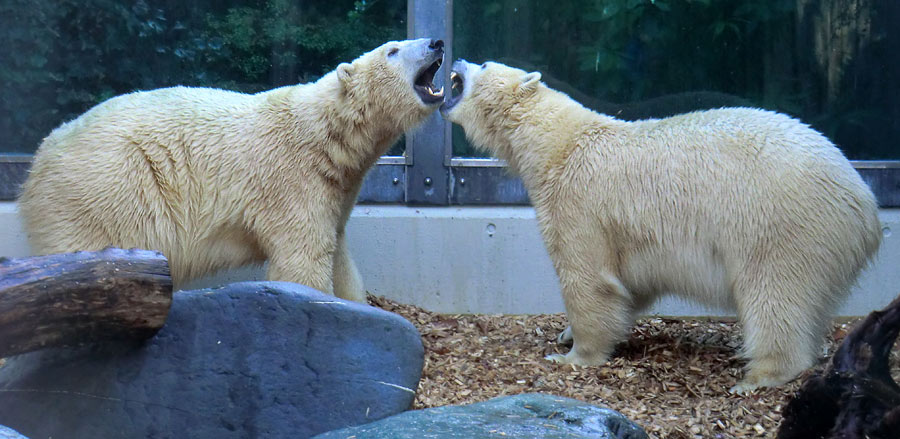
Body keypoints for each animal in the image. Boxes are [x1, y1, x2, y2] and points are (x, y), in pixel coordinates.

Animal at [17, 38, 446, 302]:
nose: (436, 43)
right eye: (393, 50)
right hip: (101, 194)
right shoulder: (290, 181)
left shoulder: (335, 190)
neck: (323, 133)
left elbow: (338, 255)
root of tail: (38, 159)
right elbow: (302, 261)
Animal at [440, 60, 884, 394]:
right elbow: (631, 285)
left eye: (484, 64)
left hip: (783, 227)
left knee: (775, 297)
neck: (557, 144)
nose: (457, 59)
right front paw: (566, 335)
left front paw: (572, 354)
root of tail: (865, 206)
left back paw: (758, 376)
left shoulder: (580, 201)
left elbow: (590, 278)